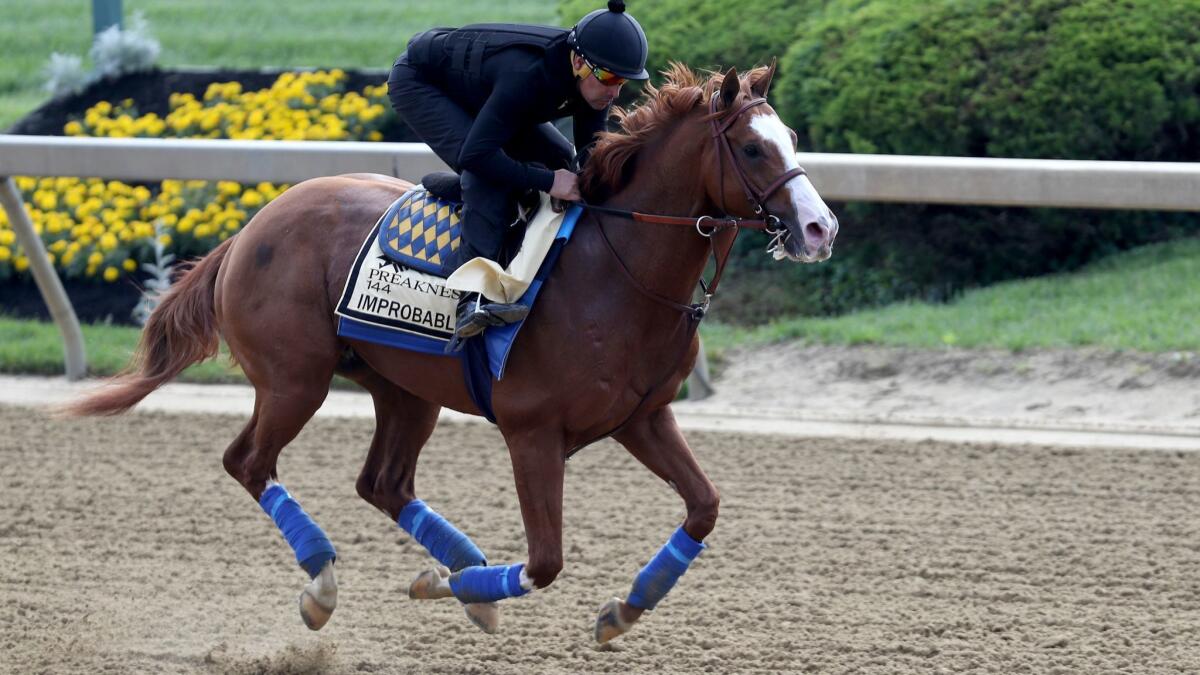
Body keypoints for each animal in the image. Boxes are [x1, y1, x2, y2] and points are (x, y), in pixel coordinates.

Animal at [65, 63, 835, 638]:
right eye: (754, 148)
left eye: (794, 136)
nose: (821, 227)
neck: (615, 272)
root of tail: (251, 227)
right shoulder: (532, 431)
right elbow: (545, 561)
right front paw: (455, 585)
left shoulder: (644, 417)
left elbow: (704, 505)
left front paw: (622, 607)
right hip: (295, 380)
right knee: (249, 461)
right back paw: (325, 583)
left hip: (403, 389)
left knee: (382, 482)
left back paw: (461, 573)